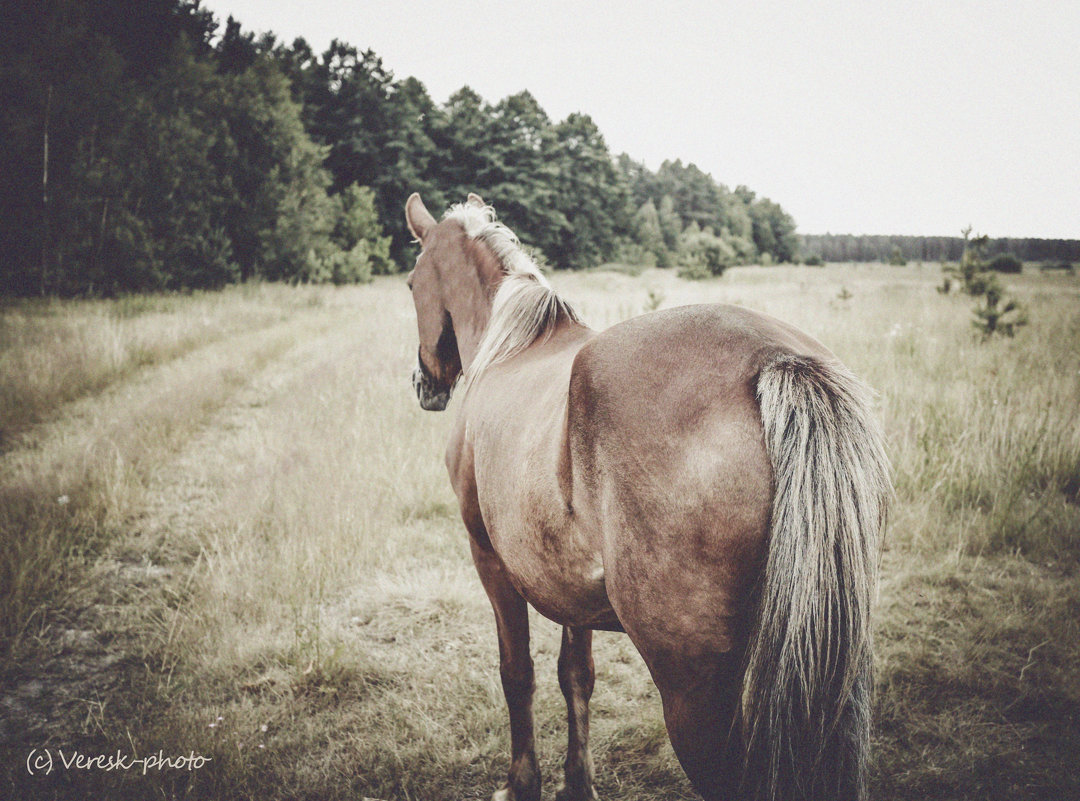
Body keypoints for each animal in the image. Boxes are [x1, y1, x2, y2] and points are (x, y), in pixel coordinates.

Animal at [401, 194, 889, 801]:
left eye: (411, 282)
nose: (423, 384)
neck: (509, 347)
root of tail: (777, 361)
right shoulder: (569, 587)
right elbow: (576, 677)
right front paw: (577, 782)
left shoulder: (489, 560)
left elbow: (517, 675)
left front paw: (522, 784)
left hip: (693, 694)